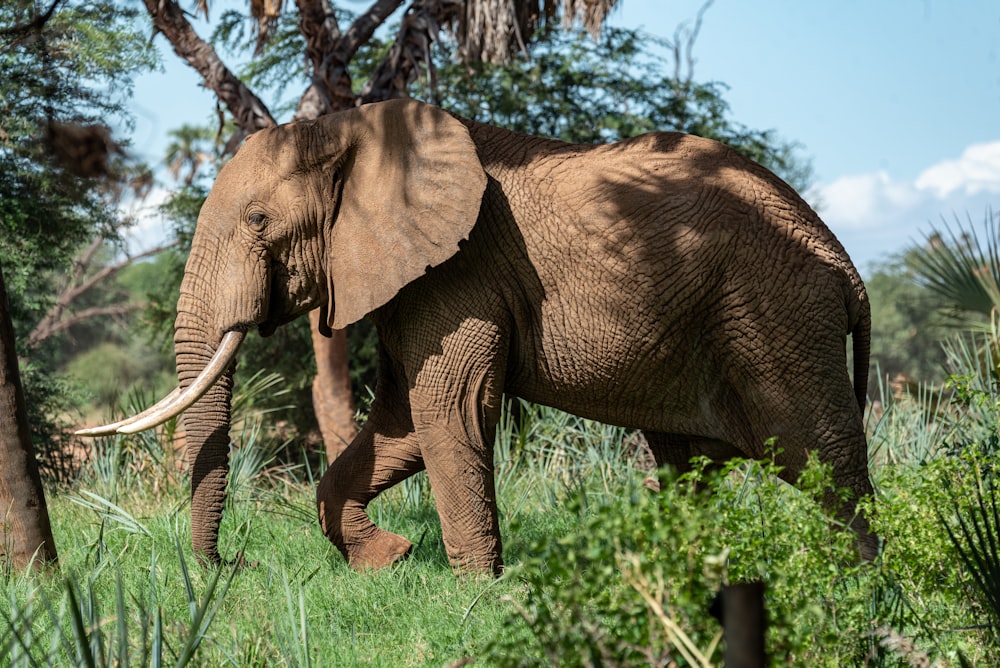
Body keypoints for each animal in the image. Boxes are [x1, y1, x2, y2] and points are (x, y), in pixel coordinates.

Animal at [80, 96, 876, 572]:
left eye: (256, 221)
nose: (230, 566)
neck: (352, 128)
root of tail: (846, 263)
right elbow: (401, 422)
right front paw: (390, 559)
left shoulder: (459, 271)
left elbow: (448, 409)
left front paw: (477, 594)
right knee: (691, 466)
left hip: (778, 314)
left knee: (824, 461)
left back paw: (861, 590)